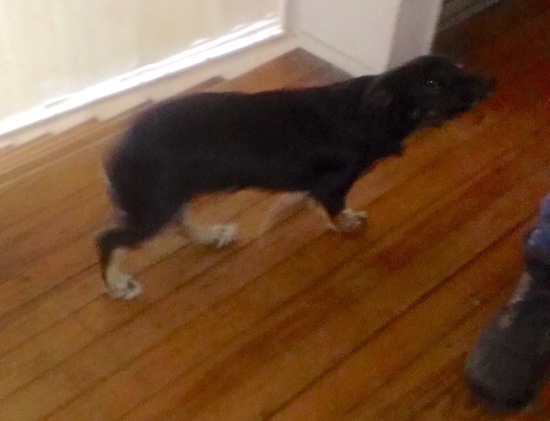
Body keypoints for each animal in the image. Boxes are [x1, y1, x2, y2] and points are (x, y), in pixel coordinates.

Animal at [98, 55, 496, 298]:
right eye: (432, 84)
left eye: (456, 67)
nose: (489, 82)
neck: (369, 114)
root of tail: (117, 151)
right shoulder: (333, 185)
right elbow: (335, 209)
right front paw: (346, 222)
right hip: (153, 207)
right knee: (108, 240)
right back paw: (117, 284)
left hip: (171, 195)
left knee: (181, 221)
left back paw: (210, 235)